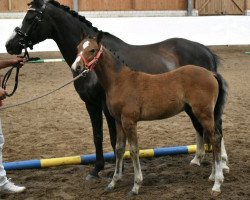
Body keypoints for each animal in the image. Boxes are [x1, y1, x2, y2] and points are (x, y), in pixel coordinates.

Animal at [71, 35, 228, 196]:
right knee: (213, 137)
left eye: (92, 50)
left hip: (203, 113)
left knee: (215, 138)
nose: (76, 67)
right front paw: (113, 182)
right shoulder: (118, 121)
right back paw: (212, 176)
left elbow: (134, 150)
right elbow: (119, 148)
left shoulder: (129, 121)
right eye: (78, 48)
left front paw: (136, 186)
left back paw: (217, 183)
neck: (120, 81)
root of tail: (210, 73)